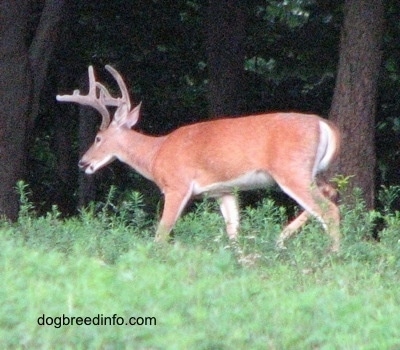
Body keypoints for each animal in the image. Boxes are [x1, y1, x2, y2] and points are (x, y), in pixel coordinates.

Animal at [56, 65, 340, 252]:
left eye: (98, 138)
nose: (83, 162)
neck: (155, 153)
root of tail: (324, 125)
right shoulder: (223, 191)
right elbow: (233, 233)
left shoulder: (177, 185)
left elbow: (161, 233)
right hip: (311, 171)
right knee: (332, 193)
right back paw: (280, 240)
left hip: (291, 169)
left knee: (329, 209)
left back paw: (332, 255)